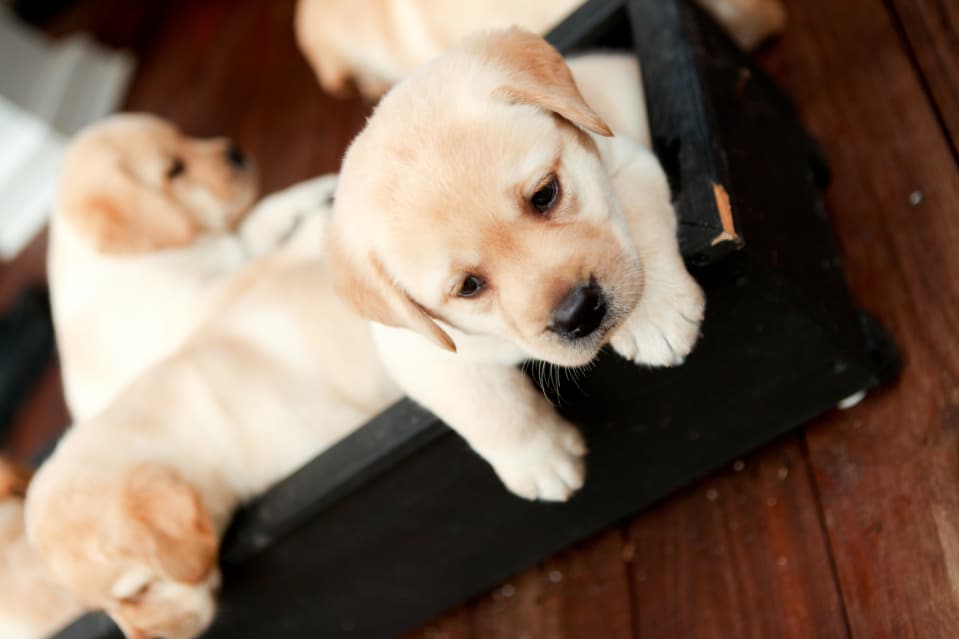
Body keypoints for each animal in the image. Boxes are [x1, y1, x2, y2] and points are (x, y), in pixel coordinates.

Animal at [330, 28, 704, 500]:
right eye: (468, 286)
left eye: (545, 194)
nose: (578, 313)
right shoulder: (418, 353)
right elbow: (488, 405)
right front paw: (542, 461)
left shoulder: (629, 159)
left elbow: (636, 212)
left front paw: (656, 315)